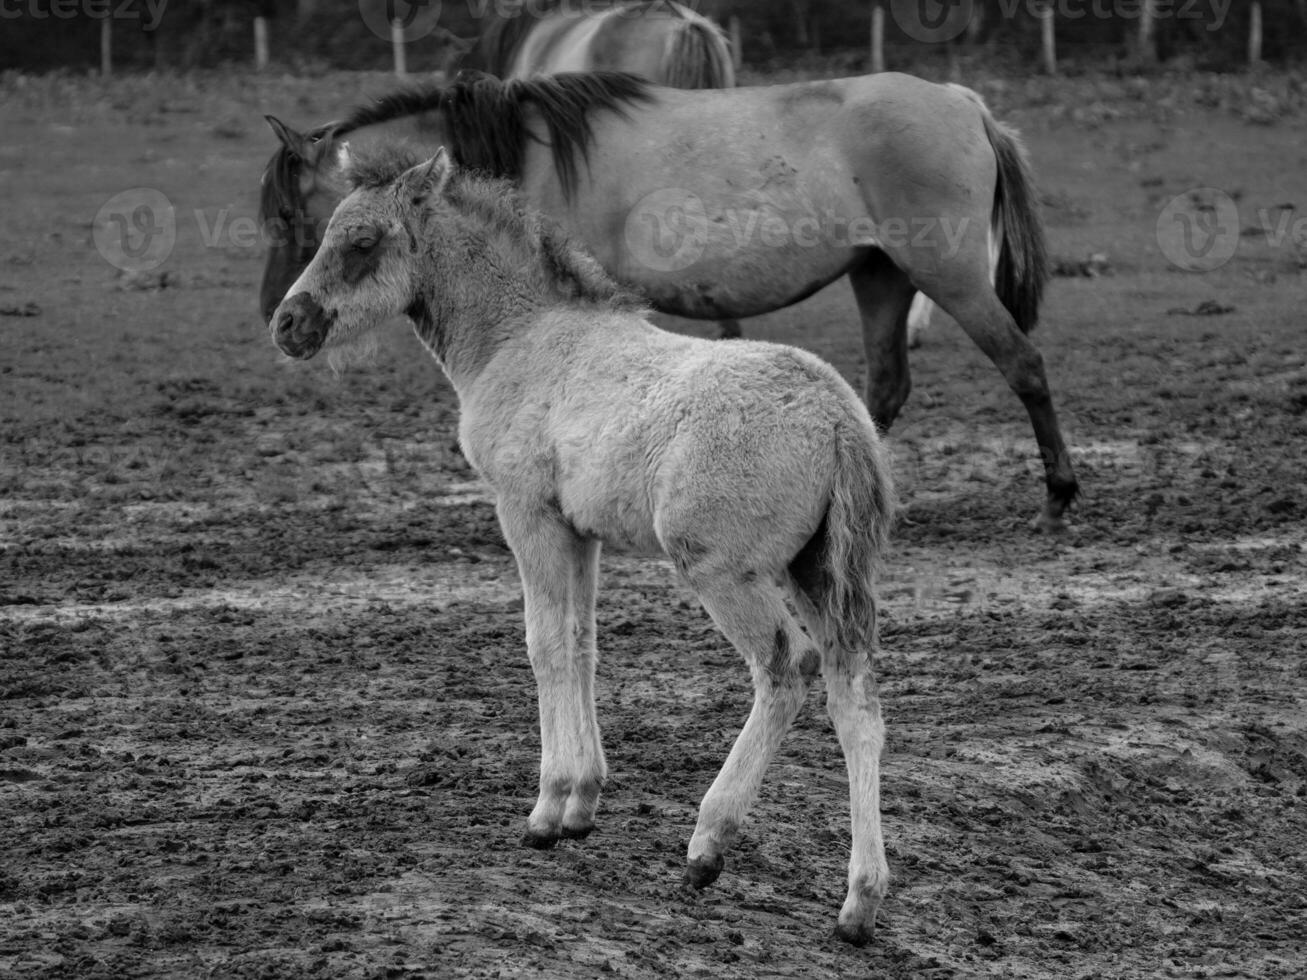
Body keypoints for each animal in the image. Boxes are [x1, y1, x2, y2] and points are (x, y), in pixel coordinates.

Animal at [257, 70, 1082, 530]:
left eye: (312, 220)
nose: (280, 319)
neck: (525, 151)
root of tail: (963, 102)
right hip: (880, 275)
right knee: (884, 387)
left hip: (950, 277)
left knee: (1024, 366)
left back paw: (1057, 497)